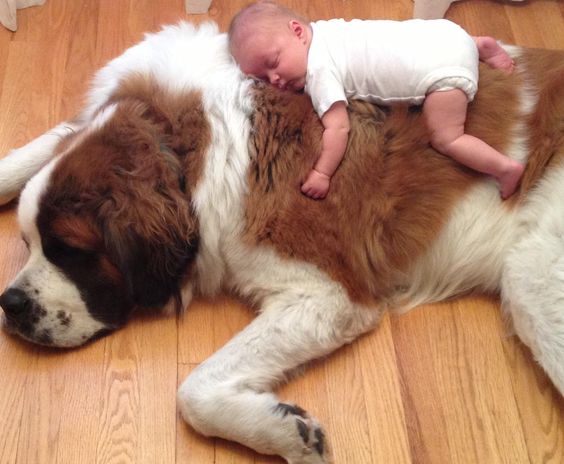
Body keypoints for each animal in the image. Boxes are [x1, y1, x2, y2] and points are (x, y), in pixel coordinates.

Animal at [1, 20, 564, 464]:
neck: (186, 149)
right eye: (28, 241)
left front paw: (288, 434)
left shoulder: (328, 295)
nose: (9, 303)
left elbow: (193, 390)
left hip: (533, 279)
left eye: (69, 251)